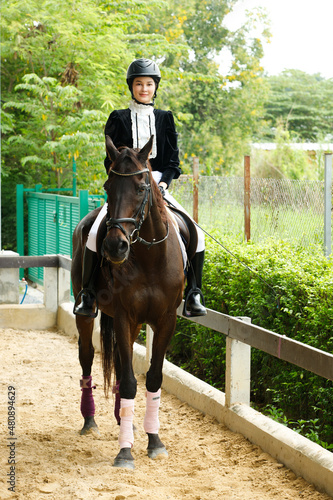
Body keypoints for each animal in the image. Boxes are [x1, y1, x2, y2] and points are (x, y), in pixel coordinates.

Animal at [70, 136, 184, 468]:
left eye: (142, 187)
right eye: (108, 186)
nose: (114, 246)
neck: (149, 257)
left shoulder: (166, 320)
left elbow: (153, 378)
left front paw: (154, 441)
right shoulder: (124, 316)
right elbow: (132, 381)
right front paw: (125, 452)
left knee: (122, 368)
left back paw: (125, 421)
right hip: (86, 314)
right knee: (86, 357)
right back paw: (90, 421)